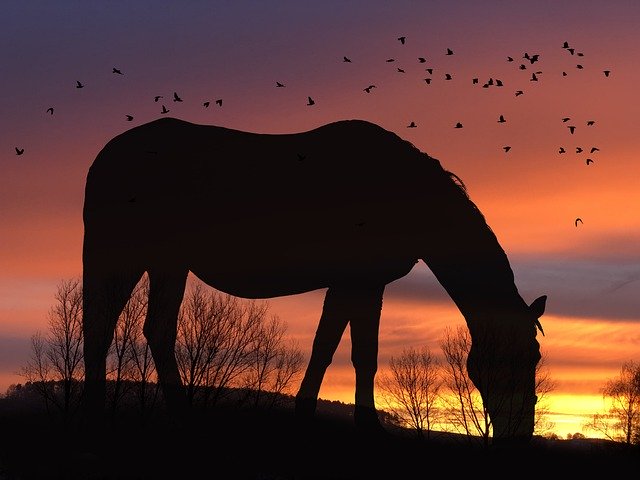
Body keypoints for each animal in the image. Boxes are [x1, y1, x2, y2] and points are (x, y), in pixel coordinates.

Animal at [82, 116, 548, 442]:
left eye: (535, 358)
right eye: (513, 361)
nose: (519, 437)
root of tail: (107, 155)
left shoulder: (358, 284)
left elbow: (344, 350)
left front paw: (336, 420)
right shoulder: (356, 282)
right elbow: (345, 351)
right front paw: (340, 421)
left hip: (156, 263)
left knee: (130, 329)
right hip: (142, 258)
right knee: (122, 328)